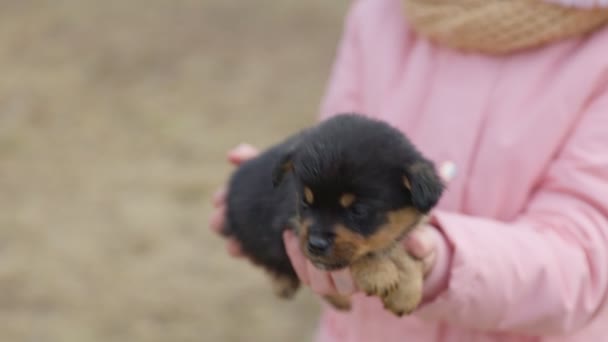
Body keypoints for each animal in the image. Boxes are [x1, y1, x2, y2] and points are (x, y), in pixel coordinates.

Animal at [221, 113, 444, 316]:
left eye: (358, 210)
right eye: (305, 201)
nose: (315, 245)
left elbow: (401, 251)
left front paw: (406, 293)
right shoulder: (293, 224)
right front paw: (377, 272)